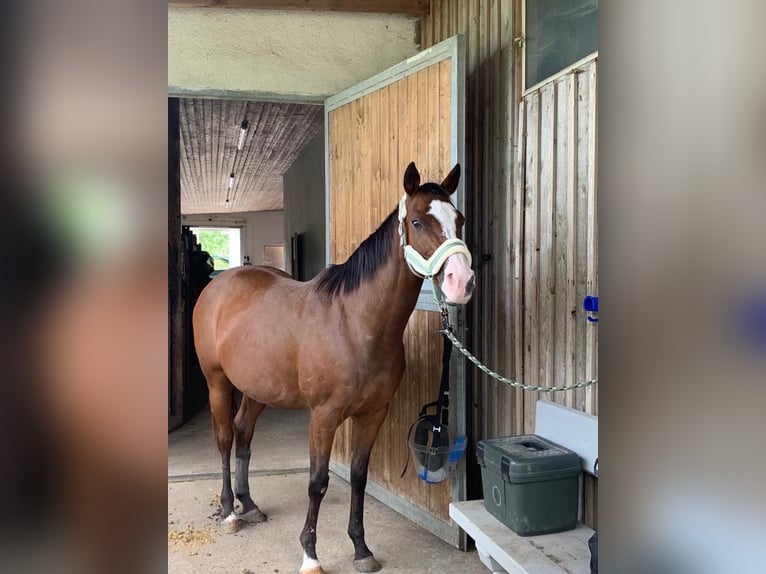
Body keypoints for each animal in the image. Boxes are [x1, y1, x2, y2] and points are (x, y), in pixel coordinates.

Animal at [194, 163, 474, 574]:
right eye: (418, 222)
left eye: (460, 219)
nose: (461, 282)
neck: (355, 324)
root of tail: (219, 284)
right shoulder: (323, 416)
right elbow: (318, 482)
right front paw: (310, 555)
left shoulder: (373, 413)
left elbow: (358, 477)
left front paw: (361, 548)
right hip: (217, 382)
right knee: (226, 438)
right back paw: (230, 511)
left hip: (258, 387)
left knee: (244, 432)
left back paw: (250, 504)